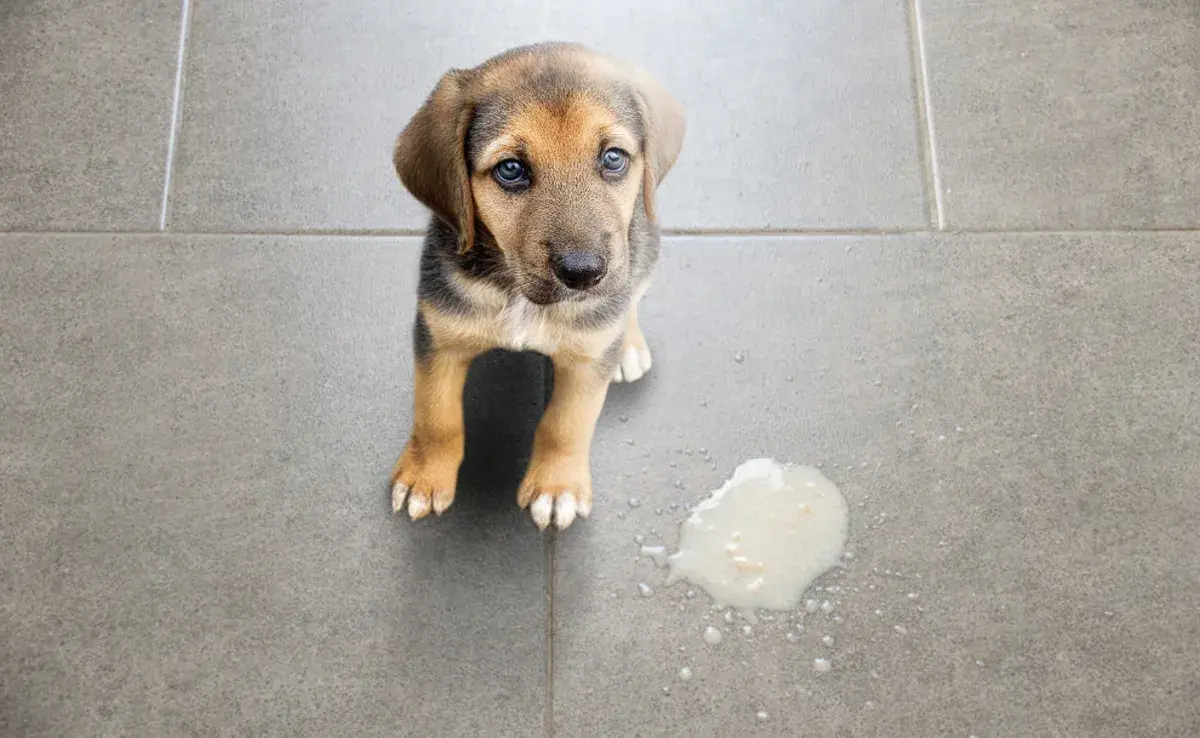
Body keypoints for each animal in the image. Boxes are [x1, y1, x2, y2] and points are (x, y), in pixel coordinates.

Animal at [386, 43, 681, 530]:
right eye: (510, 169)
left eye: (613, 158)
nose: (584, 273)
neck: (518, 293)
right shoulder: (438, 336)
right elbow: (436, 416)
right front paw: (424, 477)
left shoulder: (587, 362)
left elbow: (566, 424)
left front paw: (557, 488)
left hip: (645, 248)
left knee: (632, 295)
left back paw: (629, 345)